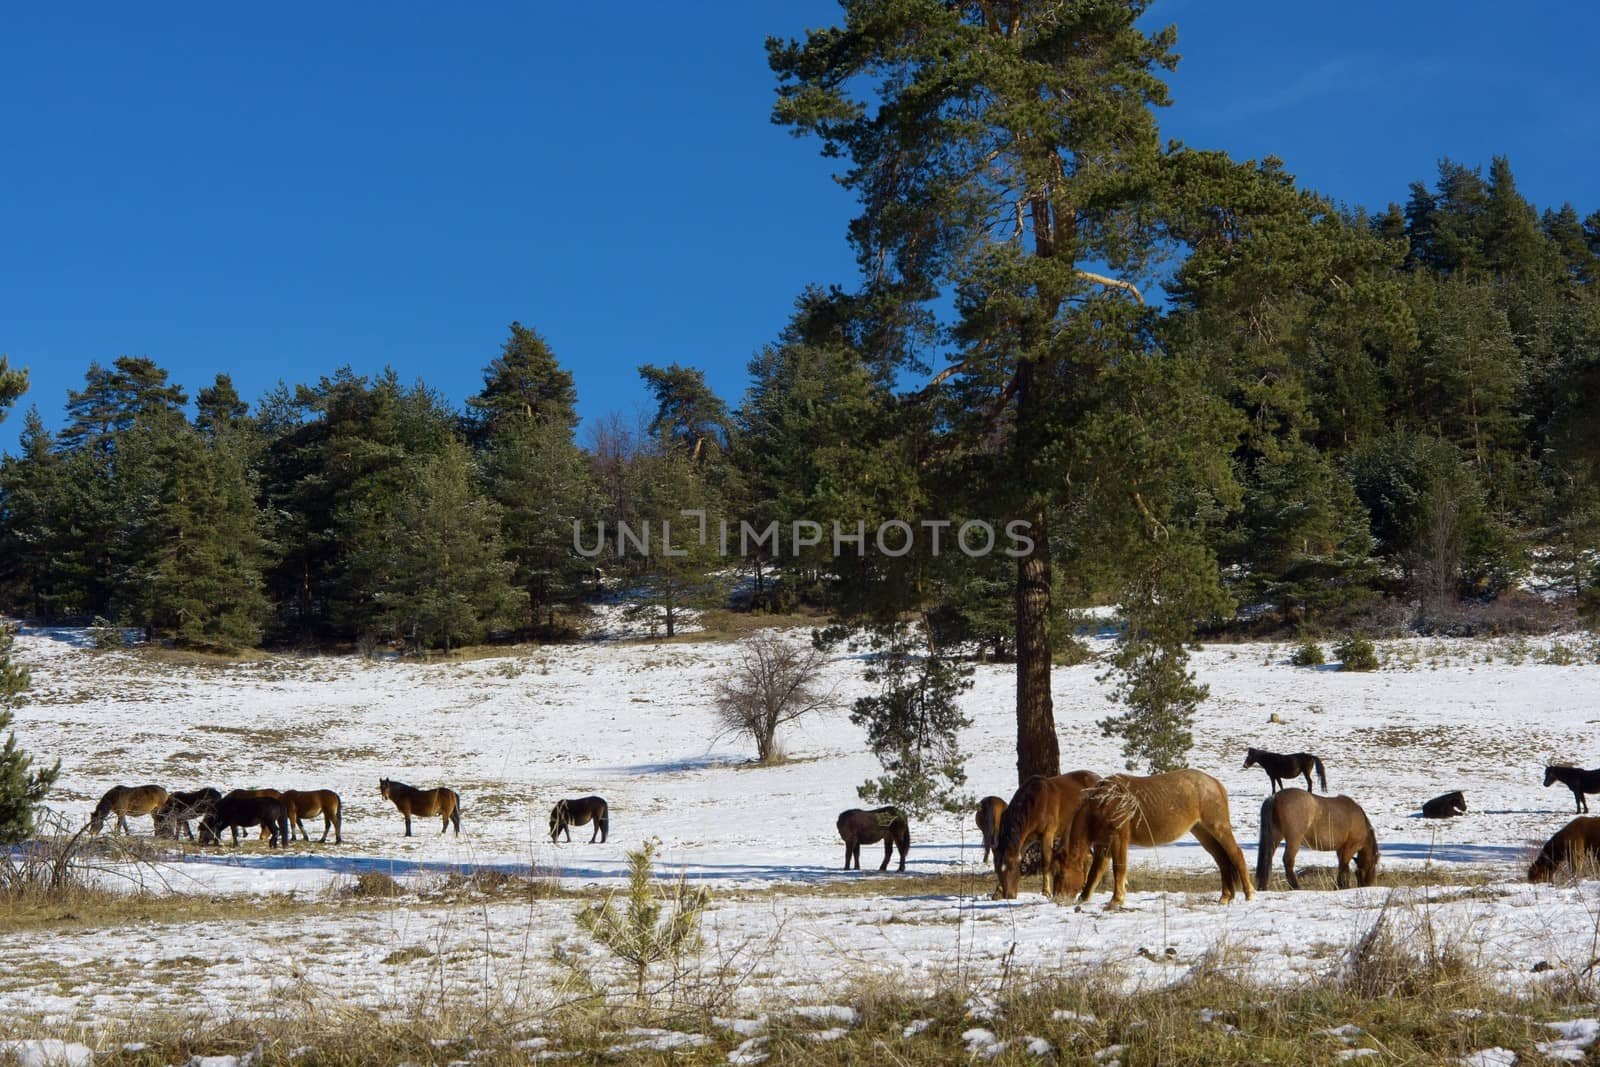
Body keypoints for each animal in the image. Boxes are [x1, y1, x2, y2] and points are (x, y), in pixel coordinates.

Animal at [1056, 767, 1254, 908]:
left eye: (1060, 873)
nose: (1057, 899)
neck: (1103, 803)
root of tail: (1215, 783)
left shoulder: (1118, 839)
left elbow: (1118, 868)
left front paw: (1116, 899)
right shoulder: (1103, 845)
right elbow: (1095, 872)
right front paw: (1084, 897)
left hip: (1218, 827)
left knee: (1236, 854)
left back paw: (1249, 893)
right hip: (1202, 832)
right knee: (1222, 860)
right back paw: (1225, 897)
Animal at [1254, 790, 1382, 889]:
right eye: (1373, 866)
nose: (1366, 885)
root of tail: (1274, 797)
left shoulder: (1340, 849)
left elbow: (1342, 865)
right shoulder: (1350, 846)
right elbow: (1344, 866)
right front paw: (1341, 886)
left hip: (1275, 837)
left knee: (1267, 859)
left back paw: (1263, 887)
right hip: (1294, 839)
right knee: (1288, 861)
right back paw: (1296, 887)